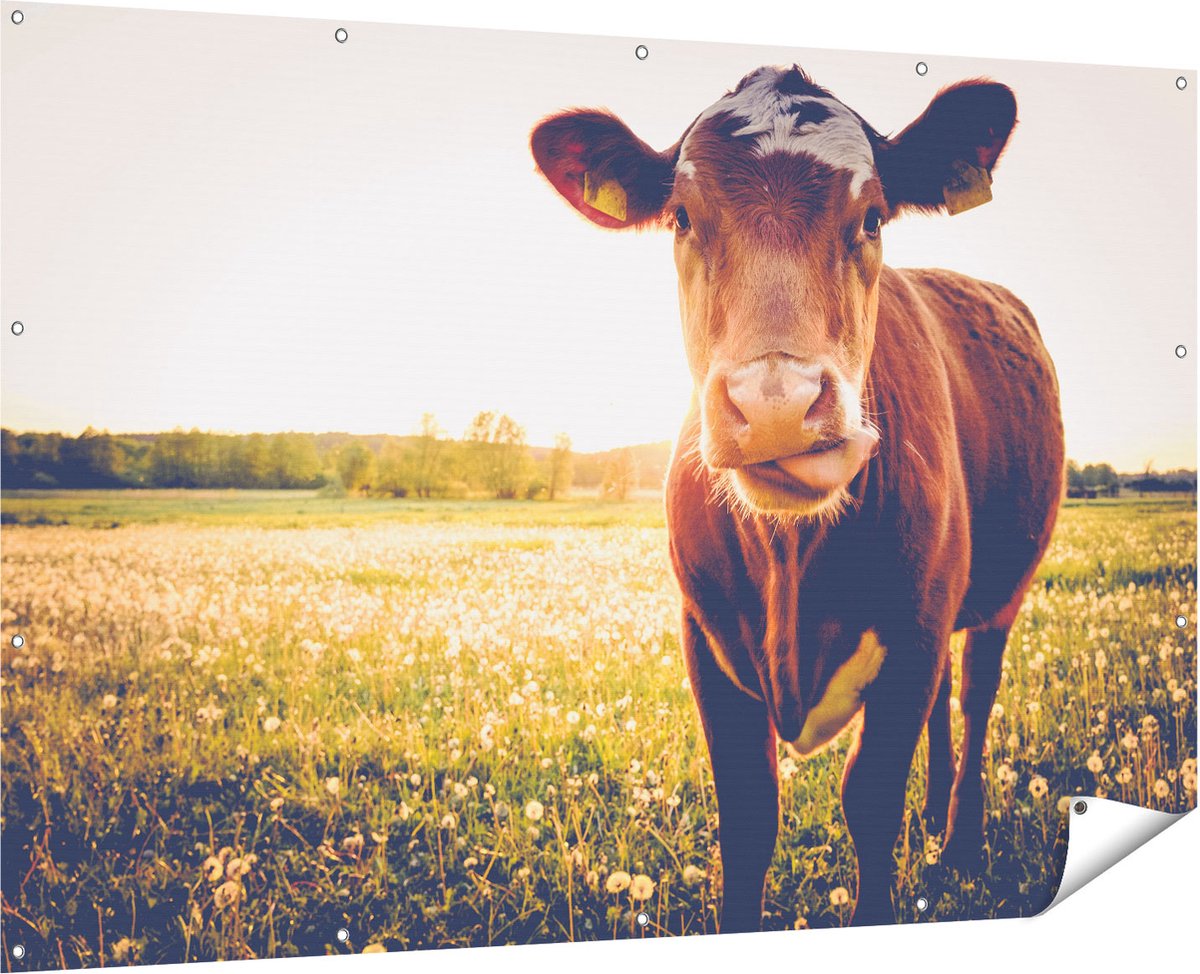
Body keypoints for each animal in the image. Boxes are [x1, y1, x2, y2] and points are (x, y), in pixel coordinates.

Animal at [530, 64, 1064, 929]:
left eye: (873, 216)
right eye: (682, 217)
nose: (776, 403)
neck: (791, 561)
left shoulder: (914, 632)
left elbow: (869, 802)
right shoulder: (706, 638)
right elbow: (749, 817)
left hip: (1000, 592)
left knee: (975, 698)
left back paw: (956, 843)